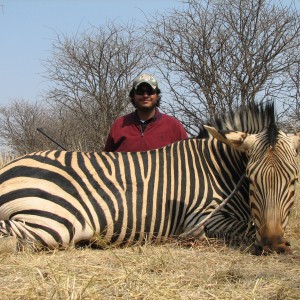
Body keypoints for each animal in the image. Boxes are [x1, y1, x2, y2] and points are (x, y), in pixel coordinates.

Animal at [0, 102, 298, 253]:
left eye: (294, 181)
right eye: (251, 179)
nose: (273, 244)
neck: (220, 169)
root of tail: (9, 167)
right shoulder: (202, 217)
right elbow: (245, 228)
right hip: (56, 221)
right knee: (14, 238)